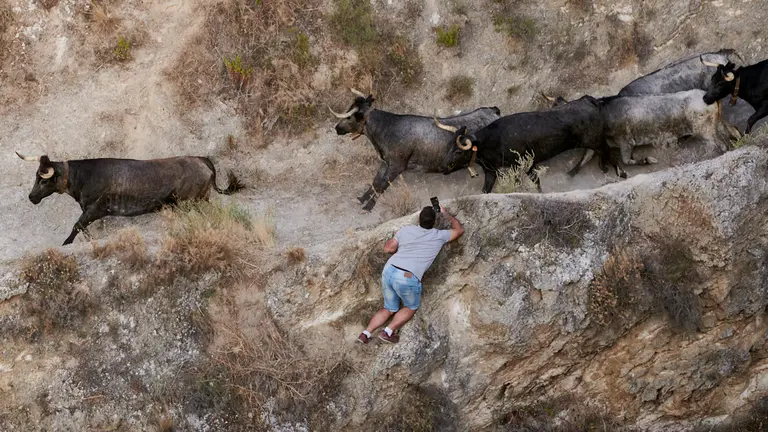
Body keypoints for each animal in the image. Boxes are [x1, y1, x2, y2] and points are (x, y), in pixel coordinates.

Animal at [16, 153, 244, 245]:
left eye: (42, 180)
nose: (31, 197)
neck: (82, 177)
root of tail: (202, 160)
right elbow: (83, 229)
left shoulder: (95, 209)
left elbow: (77, 226)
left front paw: (65, 243)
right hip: (200, 199)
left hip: (191, 201)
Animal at [329, 88, 501, 211]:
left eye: (349, 117)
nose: (337, 128)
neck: (387, 128)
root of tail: (493, 111)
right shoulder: (385, 162)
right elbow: (376, 182)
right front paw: (362, 199)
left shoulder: (397, 165)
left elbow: (383, 184)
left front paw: (368, 206)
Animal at [436, 95, 610, 193]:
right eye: (448, 147)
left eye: (458, 152)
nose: (443, 167)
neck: (491, 141)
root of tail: (589, 101)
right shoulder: (491, 172)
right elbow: (486, 190)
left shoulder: (525, 165)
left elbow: (535, 182)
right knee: (588, 154)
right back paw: (571, 174)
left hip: (594, 140)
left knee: (599, 151)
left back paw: (604, 169)